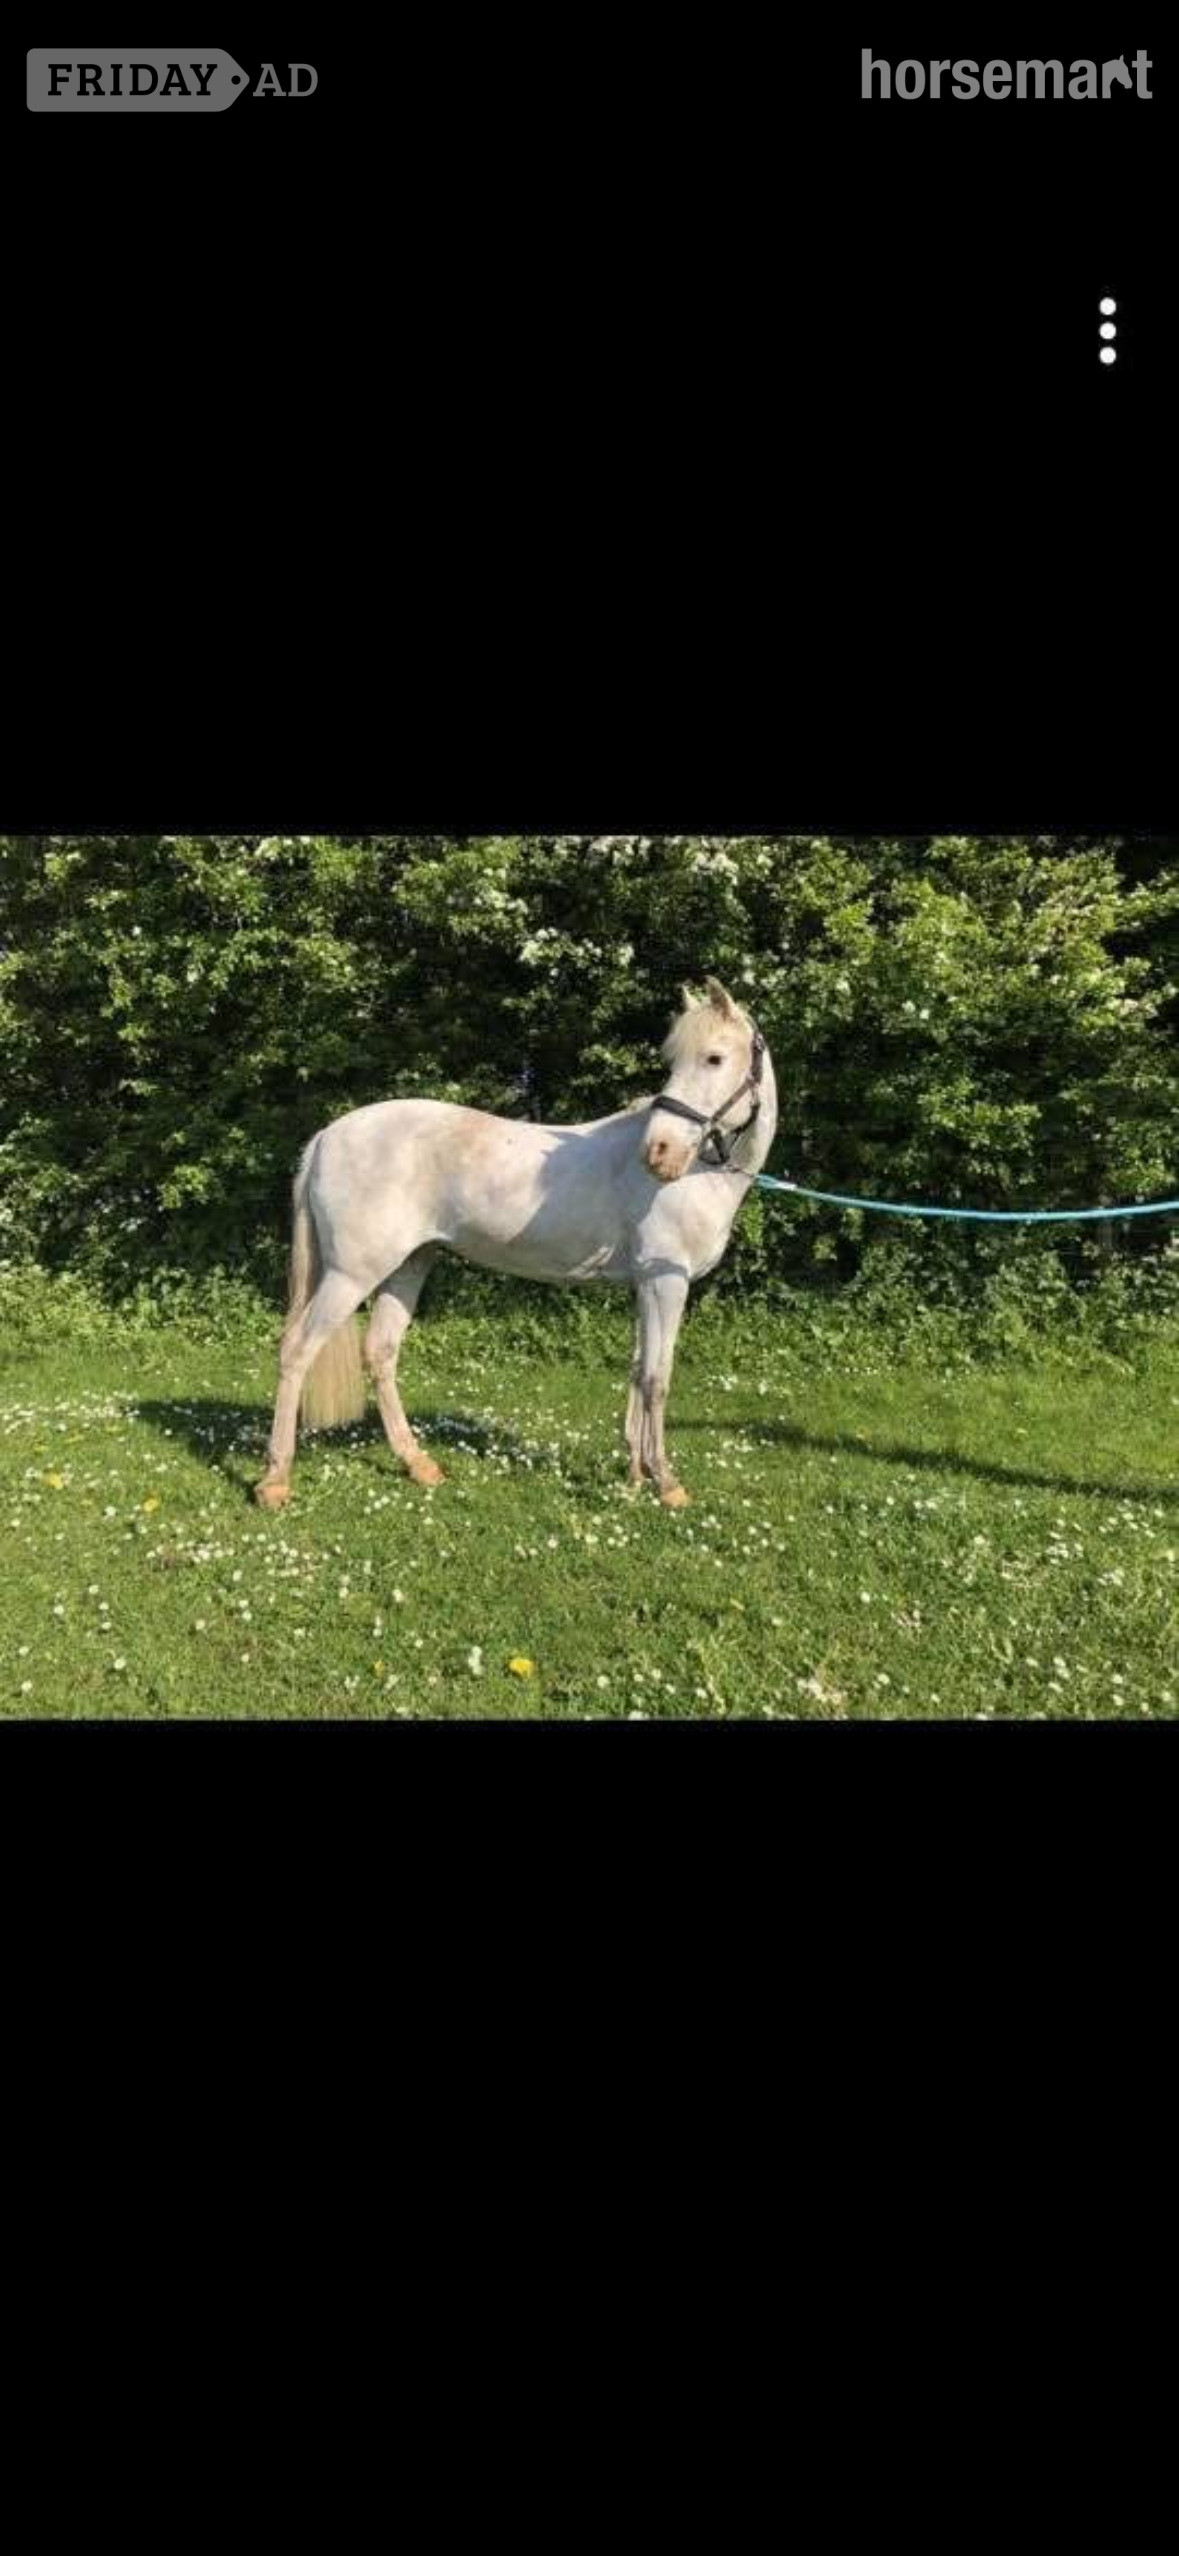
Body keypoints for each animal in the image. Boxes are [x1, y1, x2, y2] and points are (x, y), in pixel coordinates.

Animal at [254, 977, 778, 1512]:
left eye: (713, 1058)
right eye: (678, 1060)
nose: (659, 1153)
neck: (699, 1175)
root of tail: (326, 1135)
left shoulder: (645, 1286)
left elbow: (637, 1370)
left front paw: (634, 1475)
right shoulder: (665, 1283)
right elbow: (657, 1378)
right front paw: (666, 1482)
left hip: (408, 1265)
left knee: (380, 1352)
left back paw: (418, 1464)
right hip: (350, 1275)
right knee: (296, 1350)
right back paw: (275, 1480)